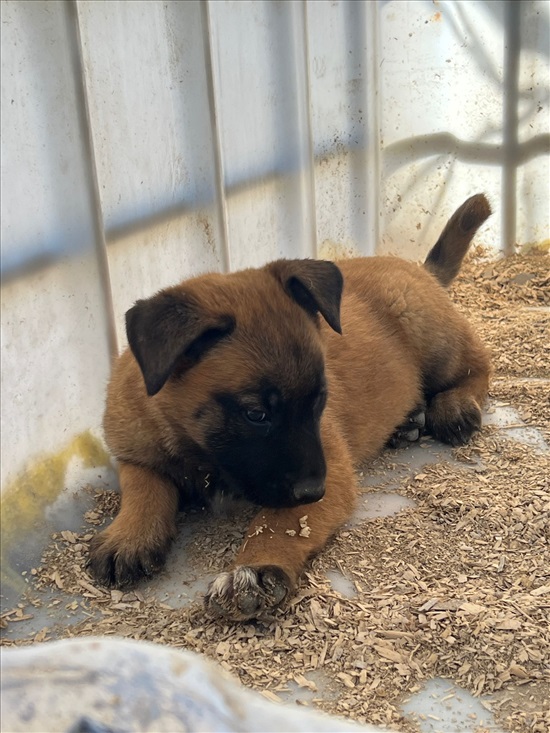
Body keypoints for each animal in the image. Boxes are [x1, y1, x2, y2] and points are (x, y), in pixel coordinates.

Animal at [88, 193, 494, 616]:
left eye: (320, 400)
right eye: (256, 414)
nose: (315, 489)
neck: (195, 447)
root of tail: (418, 269)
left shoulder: (327, 473)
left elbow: (279, 521)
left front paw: (255, 567)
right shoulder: (135, 456)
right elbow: (143, 490)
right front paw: (129, 536)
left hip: (432, 335)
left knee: (480, 366)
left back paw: (454, 406)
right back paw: (407, 422)